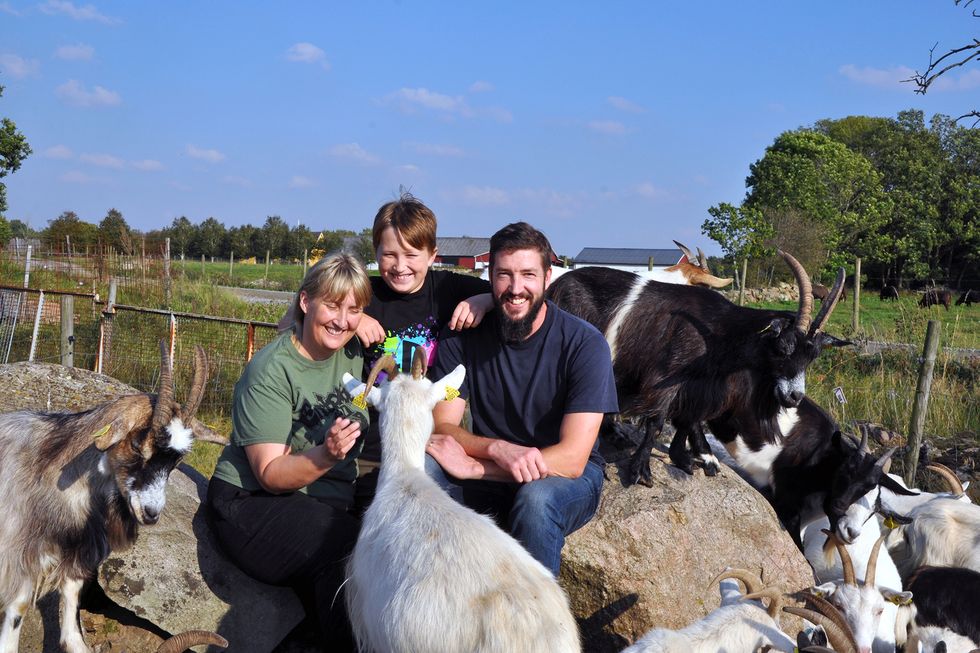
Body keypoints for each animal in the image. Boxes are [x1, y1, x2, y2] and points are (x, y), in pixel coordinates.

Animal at [0, 342, 215, 652]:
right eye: (137, 444)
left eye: (175, 462)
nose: (151, 512)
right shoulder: (19, 553)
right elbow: (18, 608)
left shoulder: (76, 556)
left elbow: (72, 622)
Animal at [548, 247, 848, 482]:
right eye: (784, 348)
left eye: (812, 357)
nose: (795, 396)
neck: (721, 332)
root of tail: (556, 285)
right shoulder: (665, 375)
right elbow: (657, 421)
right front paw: (640, 470)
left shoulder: (700, 387)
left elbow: (688, 419)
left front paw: (688, 459)